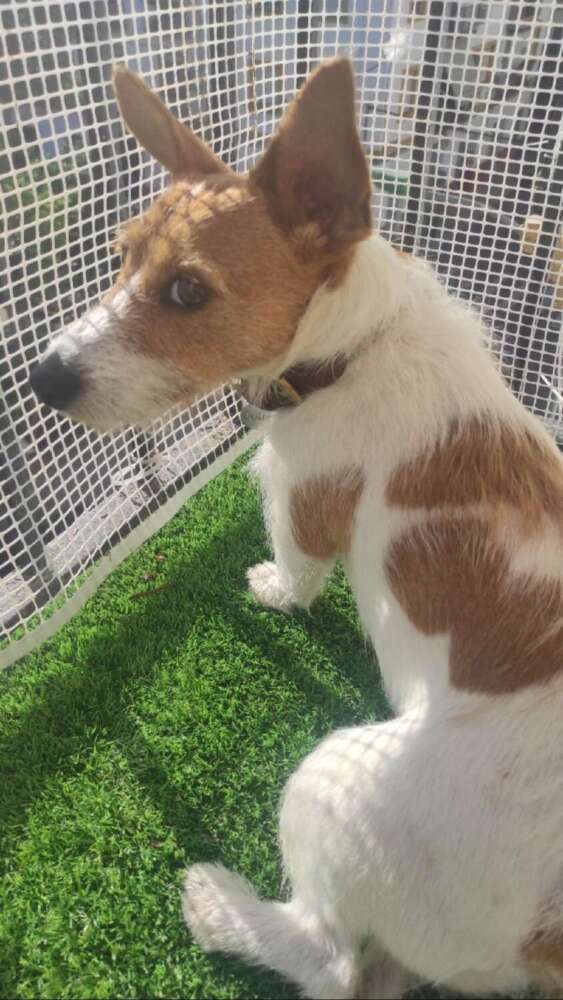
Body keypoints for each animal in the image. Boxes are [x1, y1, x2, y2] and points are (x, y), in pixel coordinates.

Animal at [29, 59, 563, 999]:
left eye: (187, 291)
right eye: (120, 257)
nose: (37, 377)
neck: (359, 344)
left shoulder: (296, 494)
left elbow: (297, 564)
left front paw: (275, 590)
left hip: (334, 781)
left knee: (333, 963)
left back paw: (221, 908)